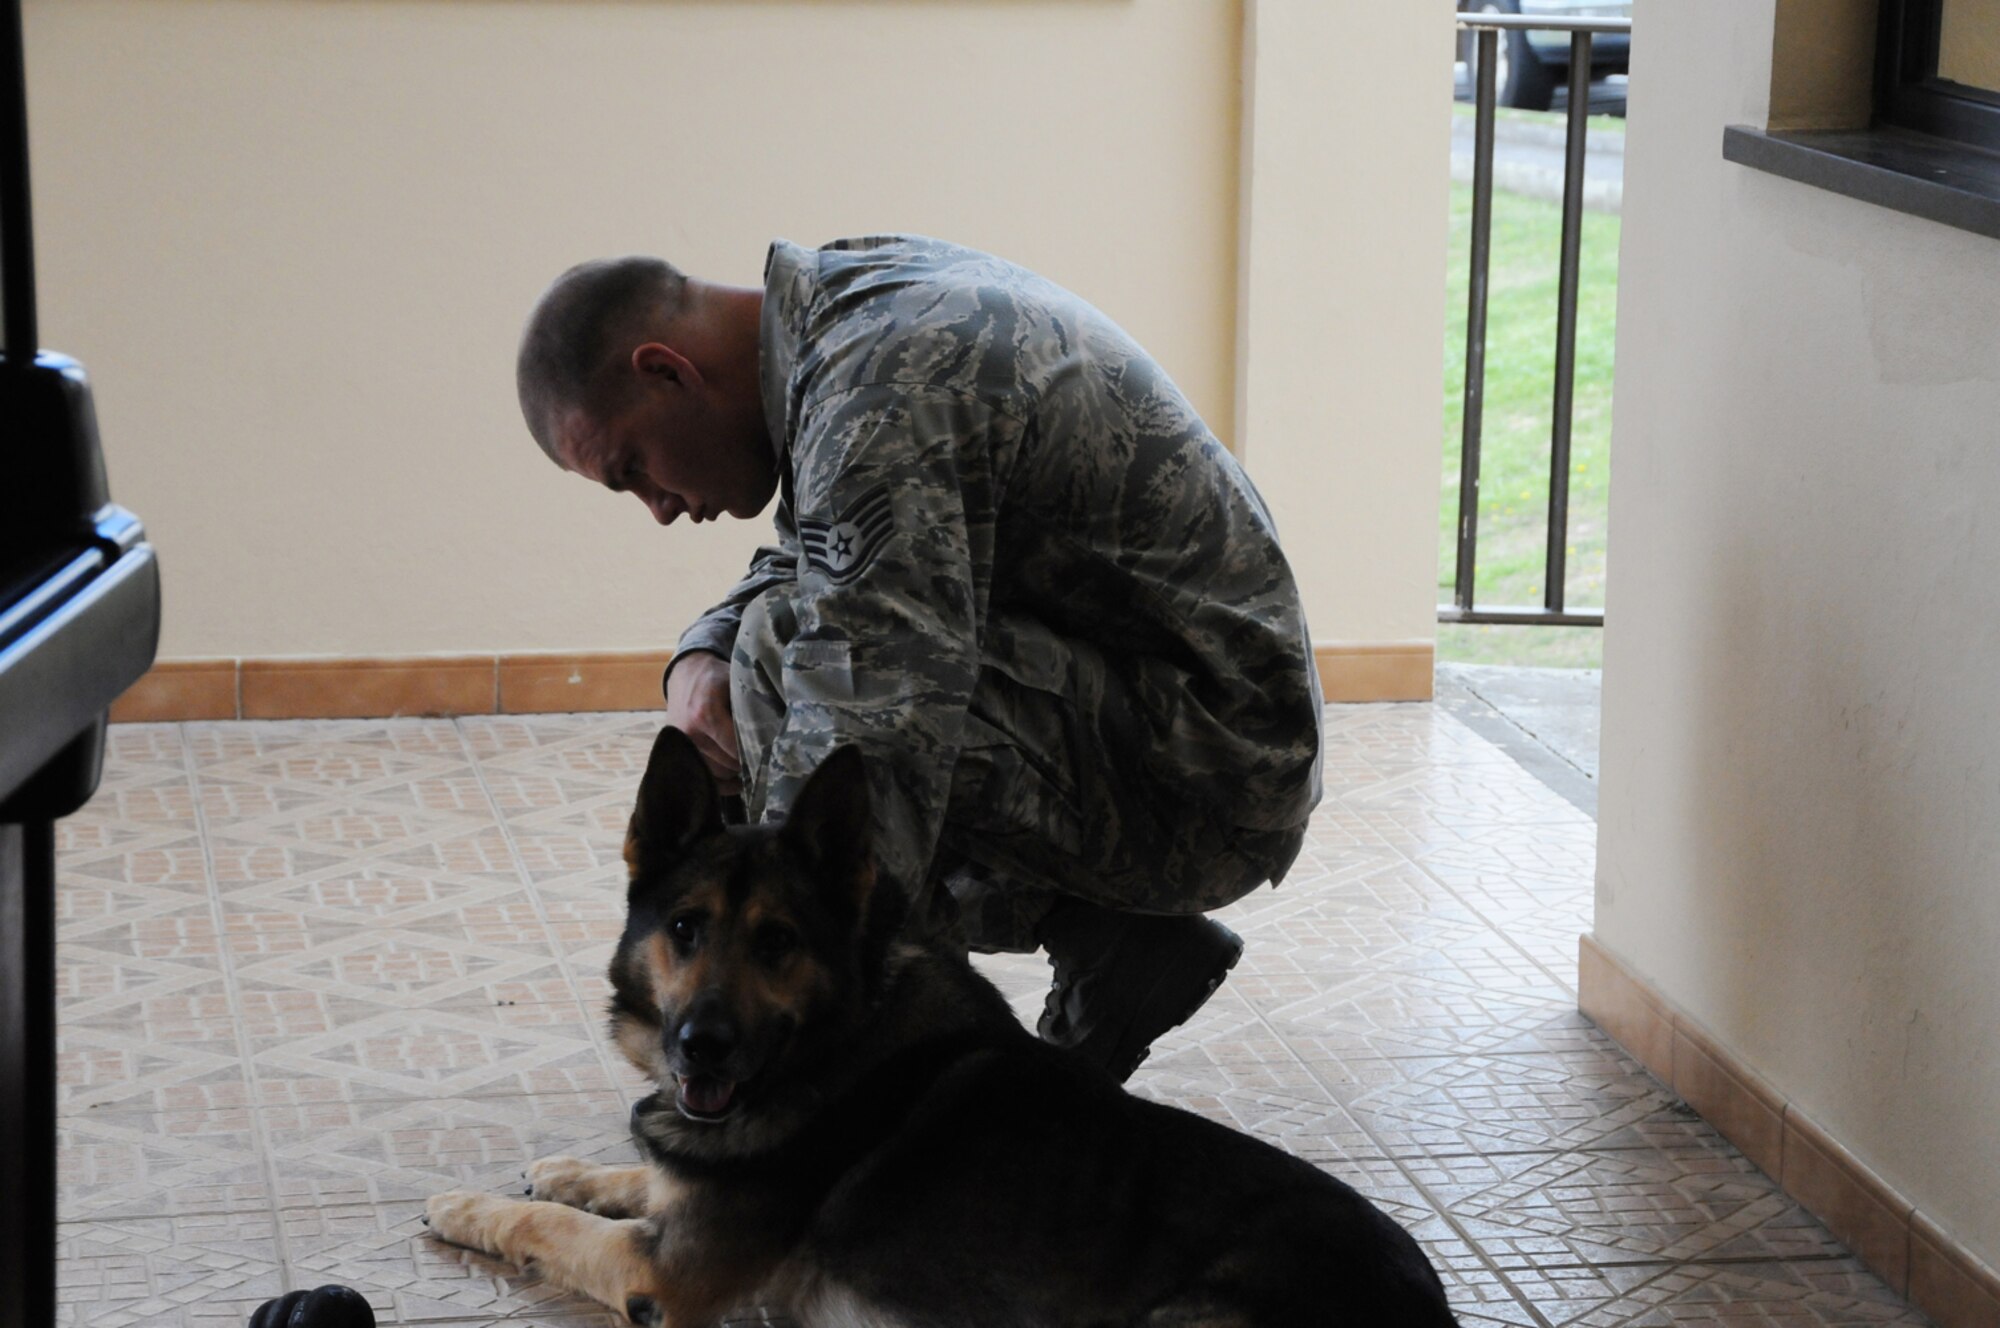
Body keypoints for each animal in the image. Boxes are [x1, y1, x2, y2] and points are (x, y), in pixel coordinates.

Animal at [426, 728, 1456, 1328]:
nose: (700, 1047)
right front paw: (573, 1169)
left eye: (777, 943)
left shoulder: (664, 1276)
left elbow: (544, 1224)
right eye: (685, 929)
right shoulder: (688, 1189)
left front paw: (467, 1206)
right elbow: (631, 1175)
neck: (837, 1040)